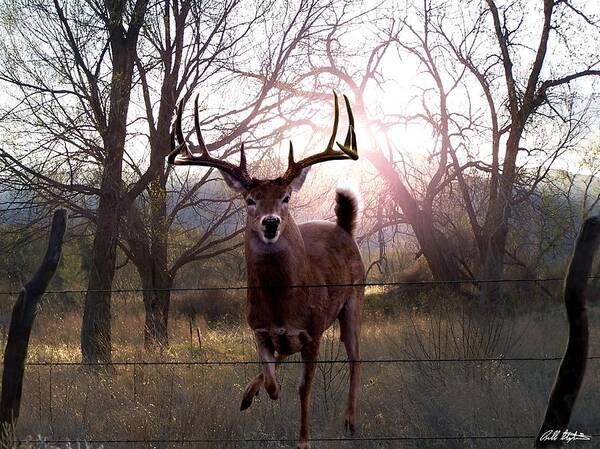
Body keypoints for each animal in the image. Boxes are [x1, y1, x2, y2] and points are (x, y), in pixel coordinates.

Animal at [169, 93, 366, 446]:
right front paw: (253, 395)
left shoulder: (313, 332)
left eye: (285, 197)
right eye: (250, 199)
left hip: (354, 300)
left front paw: (304, 440)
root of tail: (344, 227)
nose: (271, 222)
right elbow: (271, 374)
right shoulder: (258, 329)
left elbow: (303, 388)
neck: (283, 306)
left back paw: (350, 421)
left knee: (356, 358)